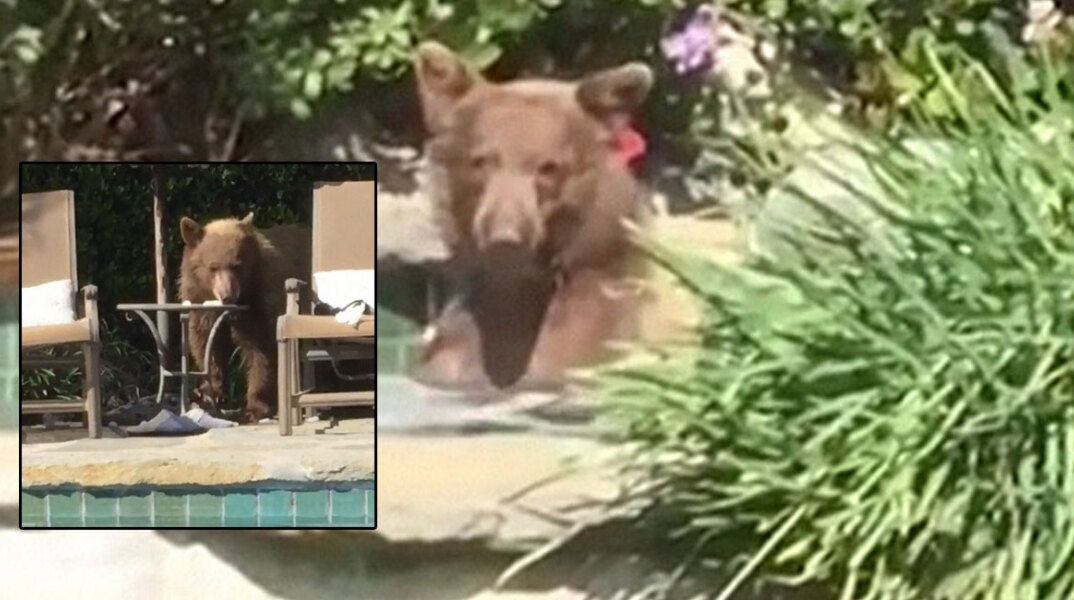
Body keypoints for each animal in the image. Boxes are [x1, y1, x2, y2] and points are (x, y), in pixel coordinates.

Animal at [178, 212, 311, 422]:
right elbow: (206, 342)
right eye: (213, 267)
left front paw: (255, 407)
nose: (227, 295)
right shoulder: (200, 301)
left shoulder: (262, 299)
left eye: (237, 266)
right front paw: (208, 393)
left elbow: (261, 348)